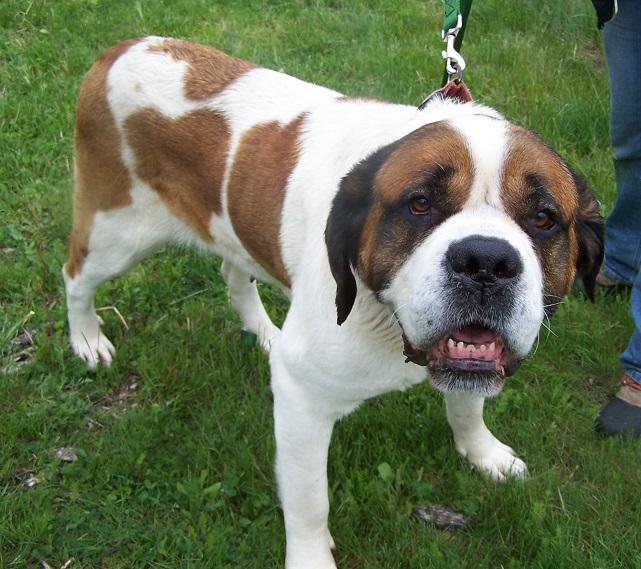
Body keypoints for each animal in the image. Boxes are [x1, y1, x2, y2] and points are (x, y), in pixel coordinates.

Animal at [63, 37, 604, 569]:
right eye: (420, 204)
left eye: (543, 218)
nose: (486, 261)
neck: (385, 315)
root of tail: (122, 48)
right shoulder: (301, 400)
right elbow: (309, 501)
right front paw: (309, 556)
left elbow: (467, 406)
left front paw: (483, 453)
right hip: (118, 234)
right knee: (75, 277)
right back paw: (87, 340)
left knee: (233, 271)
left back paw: (264, 332)